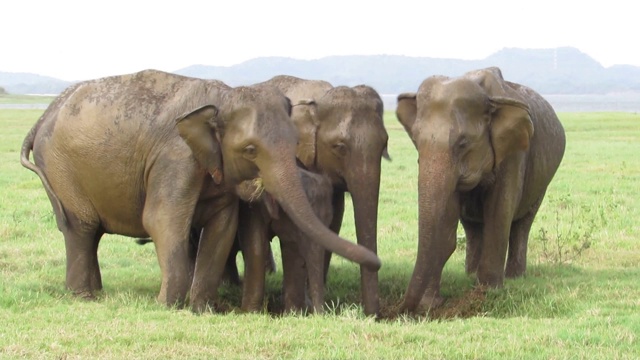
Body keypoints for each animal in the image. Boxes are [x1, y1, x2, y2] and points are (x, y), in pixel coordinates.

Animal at [396, 67, 564, 312]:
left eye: (463, 143)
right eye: (416, 140)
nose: (404, 309)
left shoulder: (513, 153)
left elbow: (499, 210)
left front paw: (487, 295)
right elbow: (447, 214)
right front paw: (429, 306)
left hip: (543, 178)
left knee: (523, 223)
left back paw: (514, 277)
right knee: (473, 227)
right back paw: (470, 274)